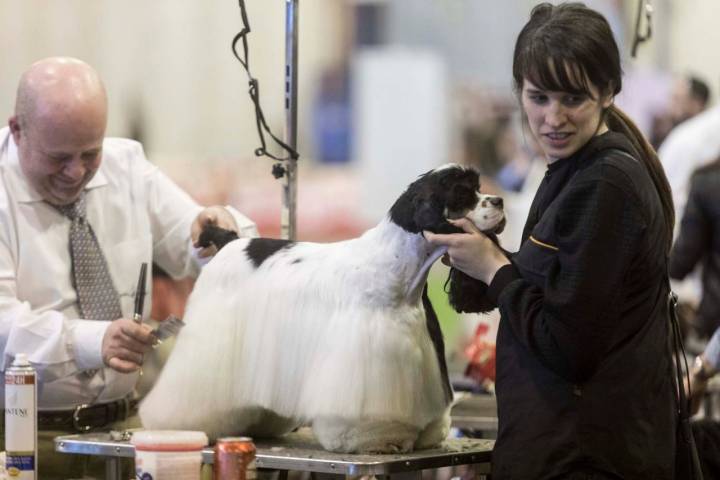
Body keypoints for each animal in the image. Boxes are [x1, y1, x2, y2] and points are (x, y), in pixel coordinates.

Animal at [138, 163, 504, 452]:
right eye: (461, 193)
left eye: (478, 187)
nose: (500, 200)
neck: (399, 268)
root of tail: (229, 241)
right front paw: (376, 438)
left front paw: (428, 434)